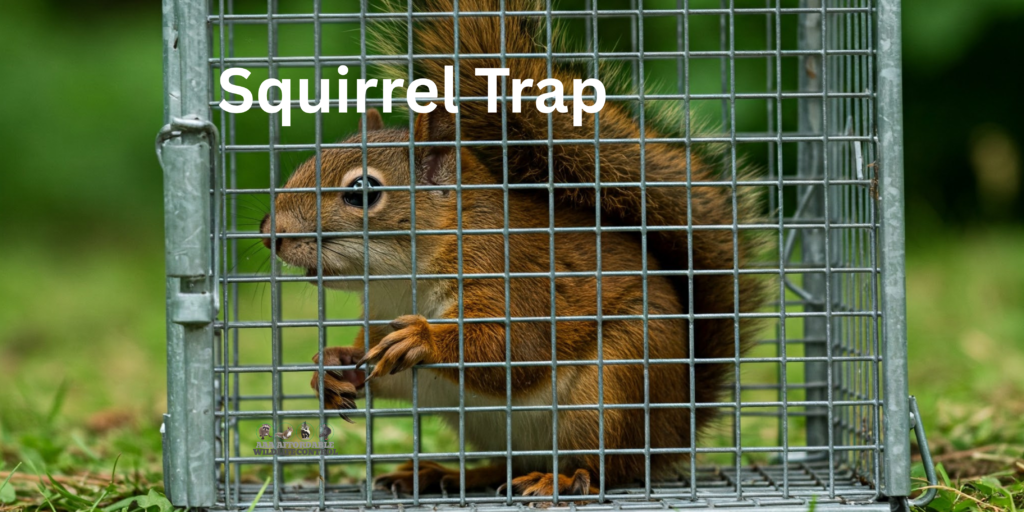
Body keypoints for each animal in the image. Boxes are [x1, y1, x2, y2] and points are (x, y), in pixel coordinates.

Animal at [258, 0, 767, 499]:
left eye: (362, 192)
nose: (269, 234)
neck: (399, 281)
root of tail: (676, 432)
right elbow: (385, 370)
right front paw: (332, 366)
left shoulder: (512, 276)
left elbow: (515, 346)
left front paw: (424, 338)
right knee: (509, 465)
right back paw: (448, 475)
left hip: (612, 389)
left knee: (607, 468)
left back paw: (559, 479)